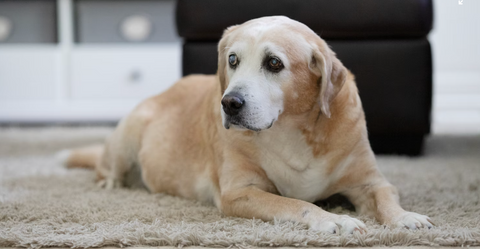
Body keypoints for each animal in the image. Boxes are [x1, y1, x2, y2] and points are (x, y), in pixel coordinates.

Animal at [62, 16, 434, 234]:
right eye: (232, 60)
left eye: (274, 63)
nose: (229, 103)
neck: (290, 130)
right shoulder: (239, 192)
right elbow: (297, 204)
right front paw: (334, 218)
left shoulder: (370, 181)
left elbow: (386, 197)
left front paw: (406, 217)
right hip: (129, 133)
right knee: (106, 166)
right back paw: (112, 182)